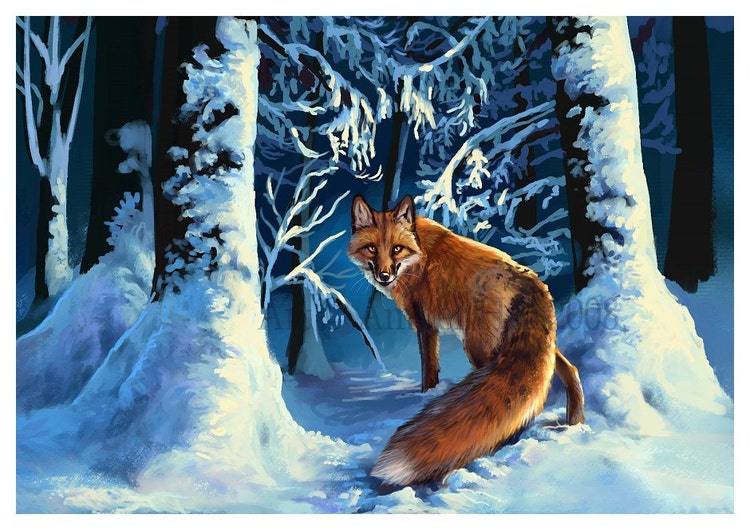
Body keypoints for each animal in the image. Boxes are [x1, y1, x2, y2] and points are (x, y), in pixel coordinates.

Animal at [348, 194, 585, 487]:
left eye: (396, 249)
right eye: (371, 249)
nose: (384, 275)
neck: (418, 253)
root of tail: (527, 277)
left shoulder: (425, 325)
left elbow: (429, 373)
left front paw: (425, 395)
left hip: (478, 348)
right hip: (537, 348)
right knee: (569, 370)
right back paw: (575, 422)